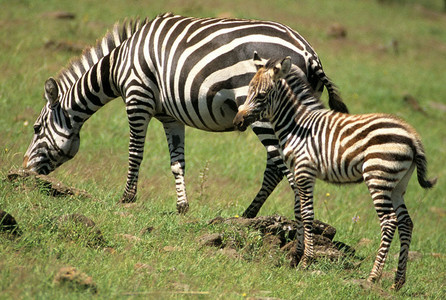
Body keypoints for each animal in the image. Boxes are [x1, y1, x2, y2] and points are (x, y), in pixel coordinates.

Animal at [22, 12, 346, 214]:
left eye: (36, 128)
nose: (23, 171)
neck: (118, 65)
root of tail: (309, 52)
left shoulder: (137, 96)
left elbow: (135, 152)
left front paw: (127, 198)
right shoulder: (171, 117)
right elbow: (177, 163)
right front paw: (182, 206)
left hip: (266, 111)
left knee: (281, 165)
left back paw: (295, 225)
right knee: (278, 166)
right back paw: (248, 216)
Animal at [235, 54, 438, 290]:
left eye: (261, 95)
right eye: (248, 91)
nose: (238, 121)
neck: (296, 124)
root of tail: (413, 137)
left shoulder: (304, 170)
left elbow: (307, 213)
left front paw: (306, 260)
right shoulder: (296, 171)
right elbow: (298, 212)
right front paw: (295, 257)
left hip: (378, 177)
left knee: (389, 221)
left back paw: (373, 276)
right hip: (397, 184)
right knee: (406, 223)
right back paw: (398, 282)